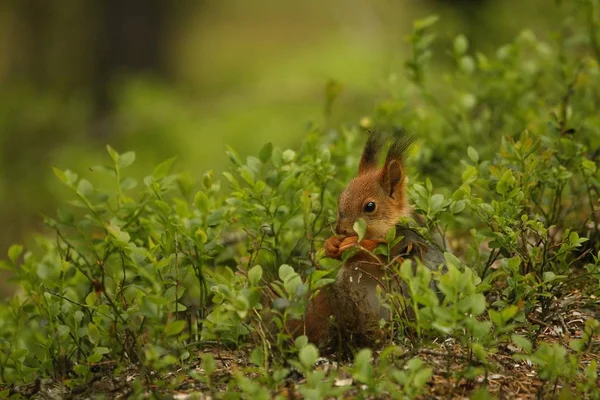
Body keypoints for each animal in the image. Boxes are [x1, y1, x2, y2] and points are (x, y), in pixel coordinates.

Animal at [288, 132, 442, 350]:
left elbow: (383, 255)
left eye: (370, 206)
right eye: (339, 199)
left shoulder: (406, 239)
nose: (341, 229)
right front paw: (331, 244)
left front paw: (356, 244)